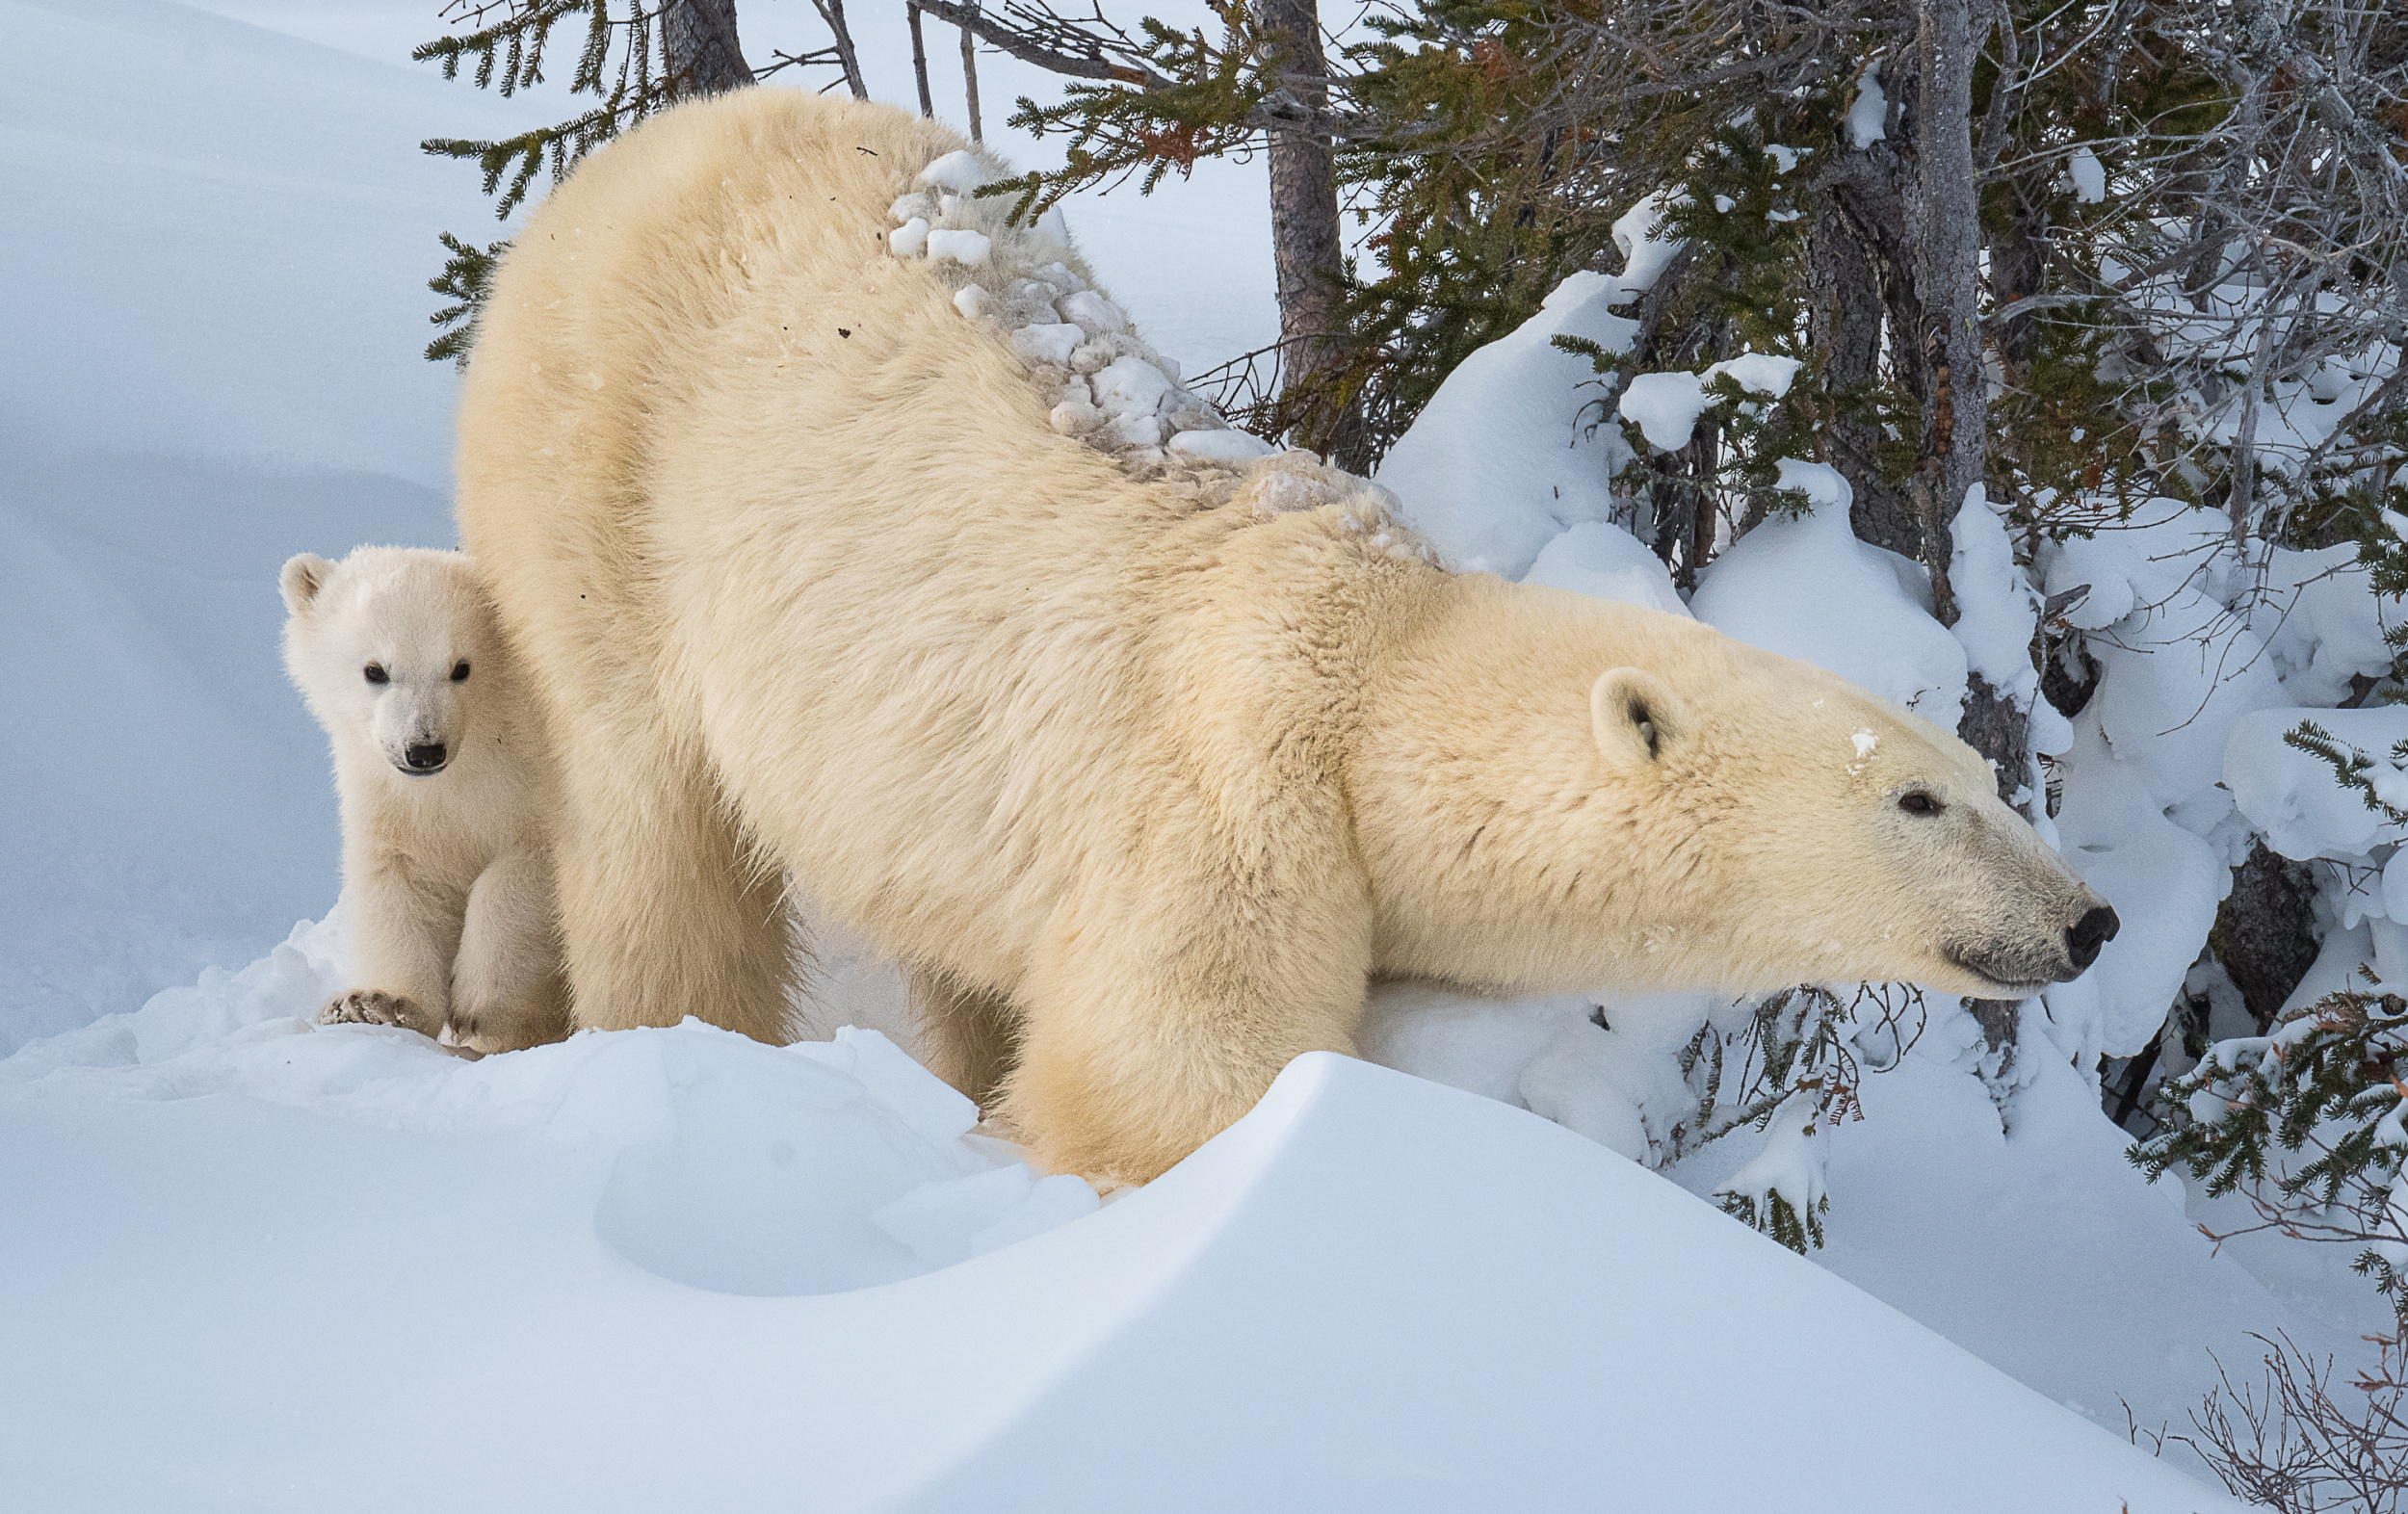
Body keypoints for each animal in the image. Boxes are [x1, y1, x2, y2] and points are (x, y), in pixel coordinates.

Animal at [281, 546, 568, 1056]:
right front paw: (372, 1004)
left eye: (461, 667)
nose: (424, 749)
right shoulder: (396, 805)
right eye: (375, 670)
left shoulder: (540, 779)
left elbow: (521, 873)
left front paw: (479, 1003)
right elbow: (404, 882)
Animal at [453, 89, 2114, 1183]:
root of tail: (646, 144)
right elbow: (1175, 1086)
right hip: (599, 468)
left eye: (1987, 771)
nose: (2087, 921)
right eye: (1921, 797)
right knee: (648, 812)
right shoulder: (1228, 799)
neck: (1375, 659)